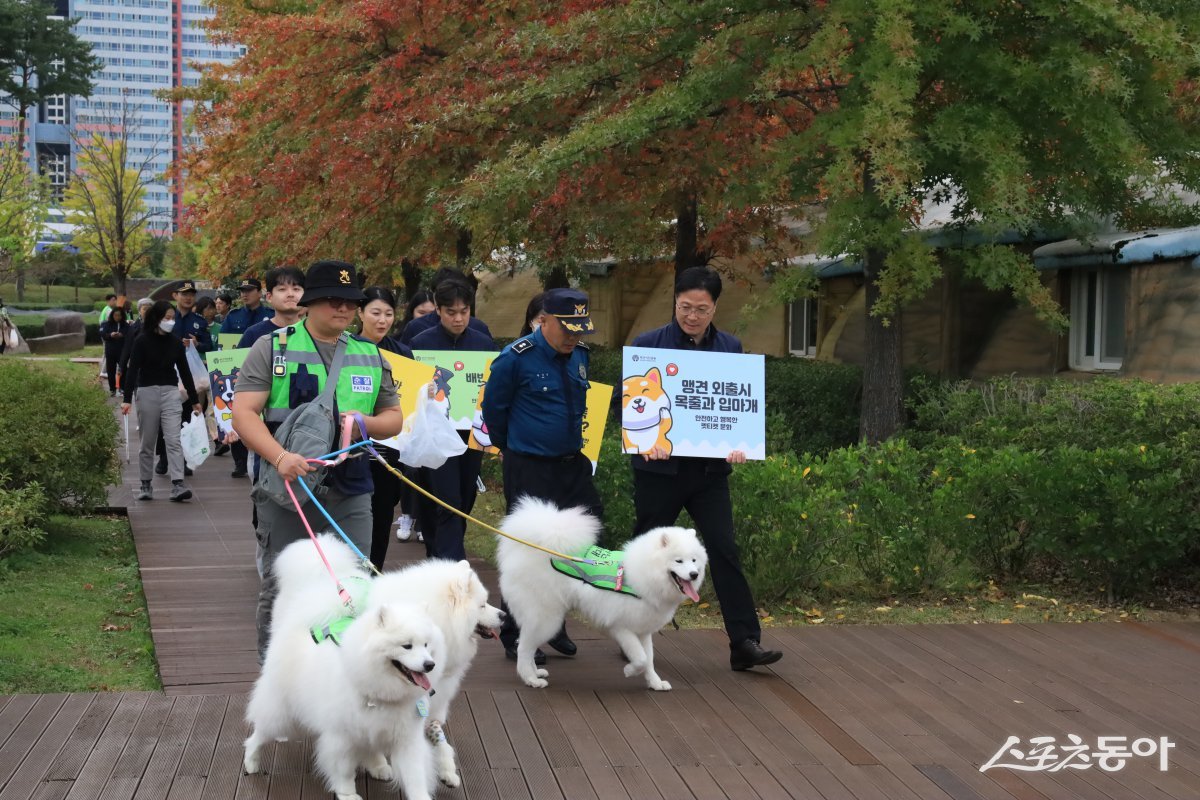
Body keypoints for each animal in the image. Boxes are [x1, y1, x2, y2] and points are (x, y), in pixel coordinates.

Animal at [243, 534, 446, 800]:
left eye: (426, 645)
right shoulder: (342, 737)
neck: (381, 691)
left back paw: (379, 766)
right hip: (280, 710)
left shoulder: (404, 738)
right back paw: (251, 761)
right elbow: (344, 769)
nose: (429, 665)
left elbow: (415, 777)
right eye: (406, 646)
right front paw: (348, 793)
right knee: (259, 734)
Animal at [369, 561, 501, 791]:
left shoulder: (429, 700)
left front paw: (447, 769)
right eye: (483, 605)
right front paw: (377, 764)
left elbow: (440, 739)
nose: (504, 615)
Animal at [494, 496, 705, 690]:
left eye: (694, 560)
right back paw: (531, 679)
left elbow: (649, 659)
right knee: (523, 647)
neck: (644, 573)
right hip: (546, 619)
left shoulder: (643, 629)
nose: (694, 574)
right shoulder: (621, 627)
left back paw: (535, 672)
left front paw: (655, 683)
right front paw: (630, 671)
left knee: (527, 645)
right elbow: (641, 659)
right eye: (679, 561)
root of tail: (527, 549)